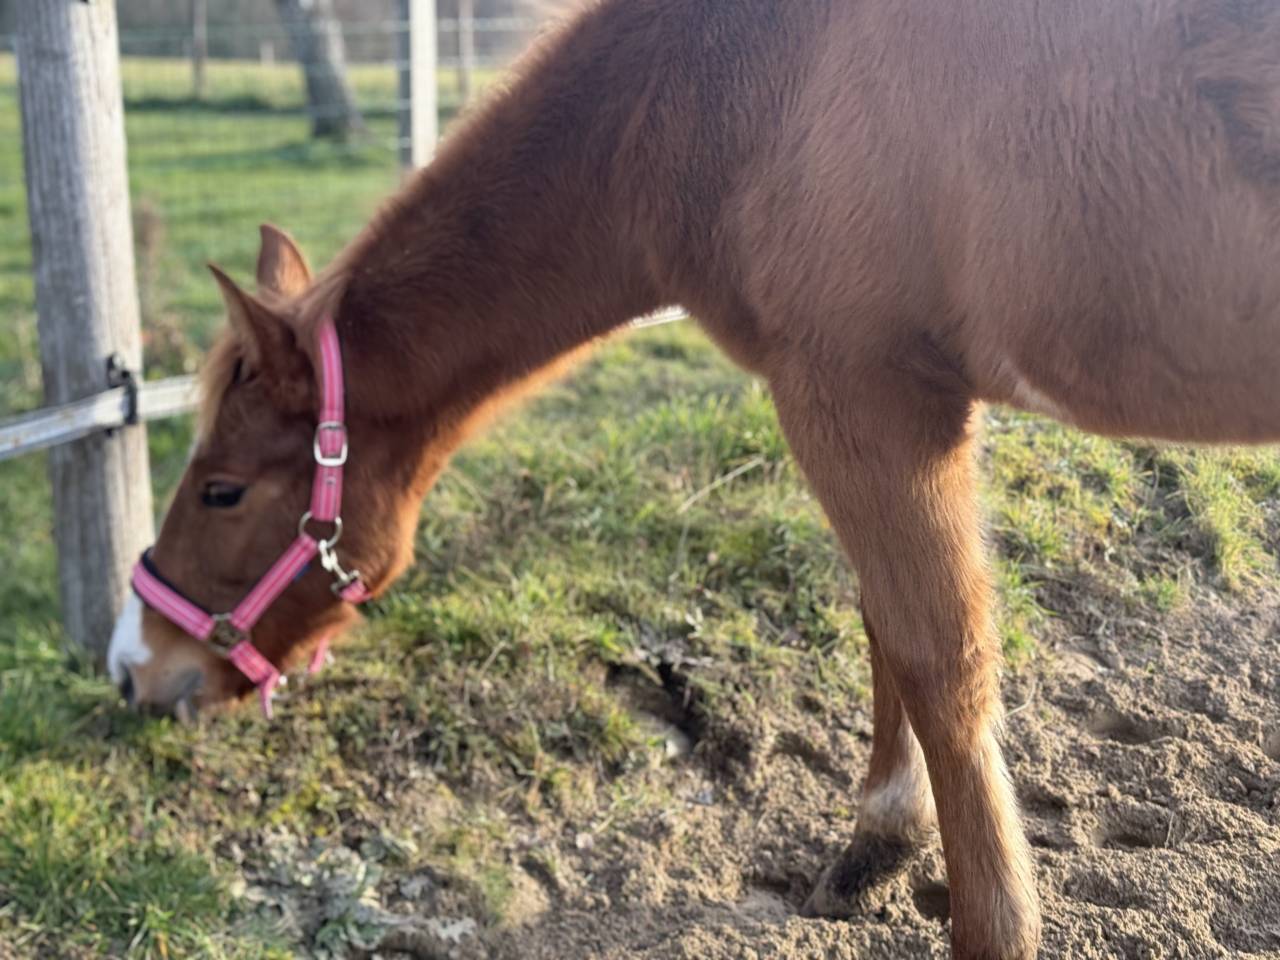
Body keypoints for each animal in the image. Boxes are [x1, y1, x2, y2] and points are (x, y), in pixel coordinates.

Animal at [107, 0, 1280, 956]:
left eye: (220, 489)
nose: (133, 666)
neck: (731, 88)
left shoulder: (859, 397)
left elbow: (939, 661)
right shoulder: (910, 405)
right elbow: (883, 624)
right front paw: (879, 836)